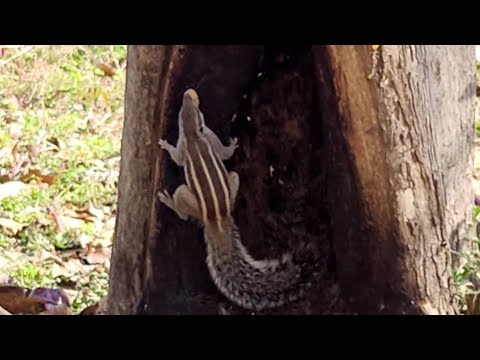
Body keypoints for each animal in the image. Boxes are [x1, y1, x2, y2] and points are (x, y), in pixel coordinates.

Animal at [158, 88, 318, 310]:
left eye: (196, 108)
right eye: (185, 107)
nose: (188, 93)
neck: (193, 136)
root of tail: (218, 220)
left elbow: (191, 156)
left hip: (185, 191)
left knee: (182, 211)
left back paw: (169, 201)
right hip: (233, 177)